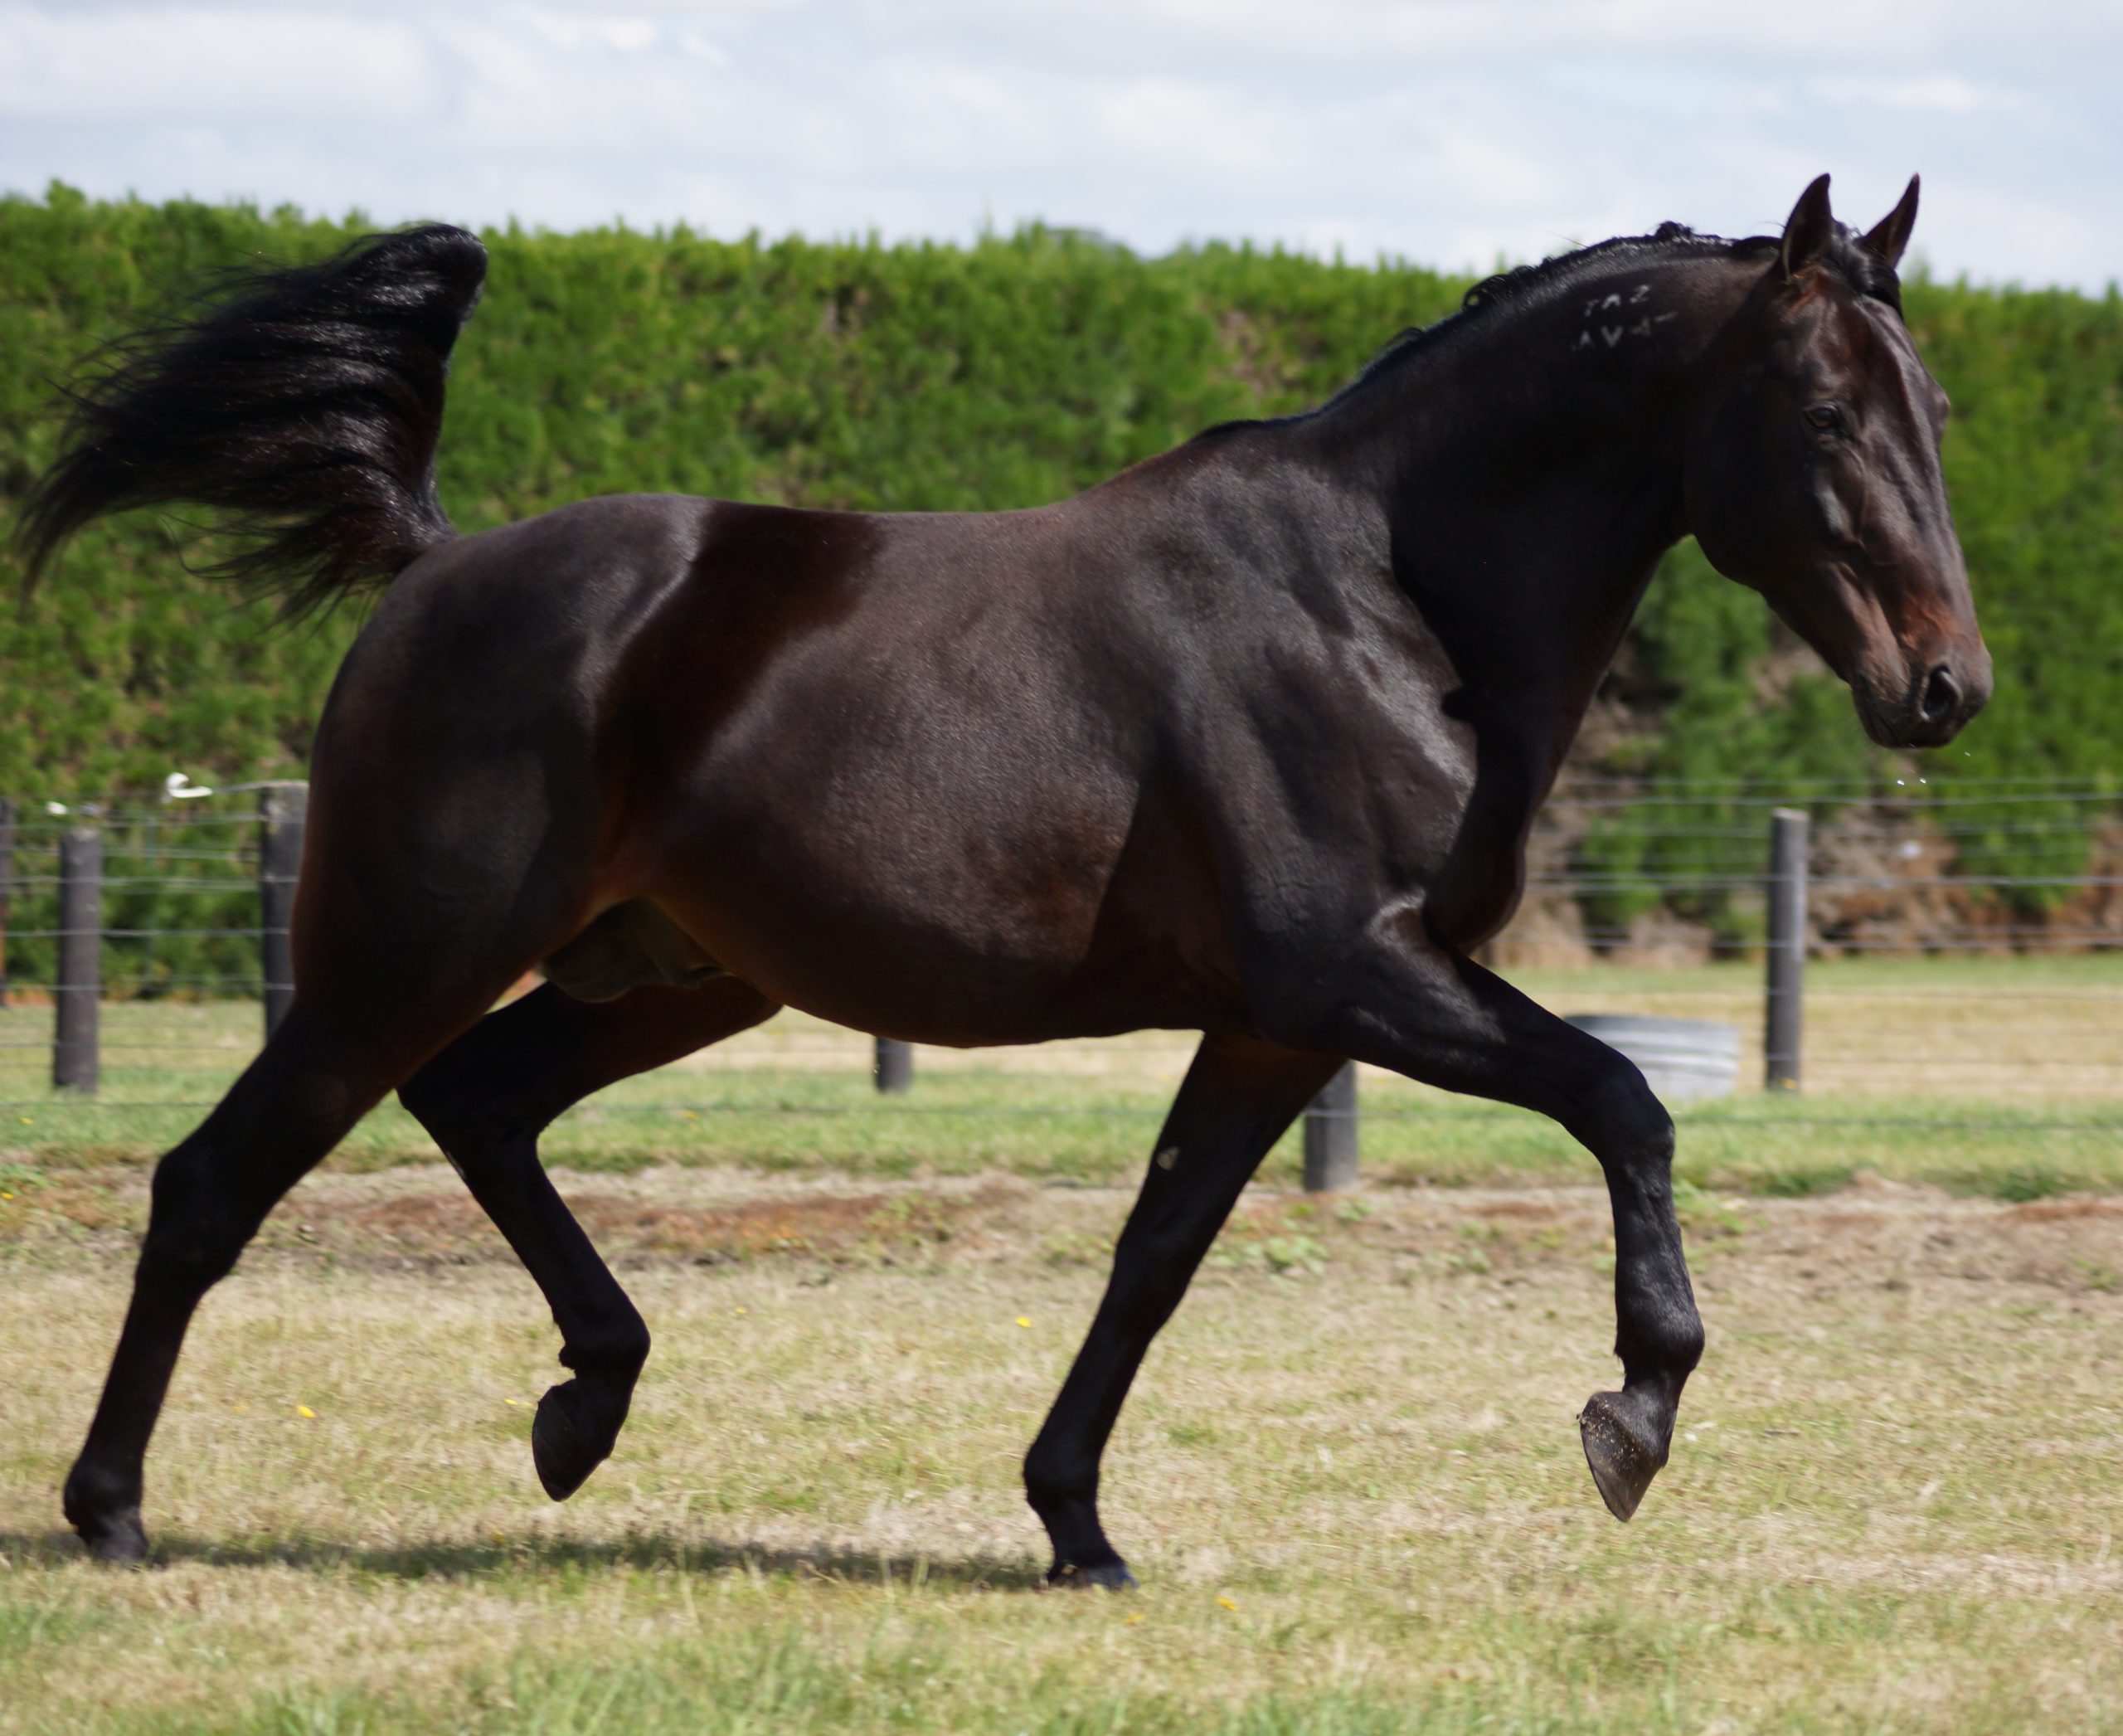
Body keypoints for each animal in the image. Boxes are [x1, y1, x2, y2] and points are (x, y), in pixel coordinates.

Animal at [19, 173, 1988, 1584]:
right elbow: (1622, 1103)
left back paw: (582, 1403)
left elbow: (1155, 1253)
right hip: (401, 954)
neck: (1382, 595)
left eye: (1939, 406)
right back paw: (112, 1509)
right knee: (215, 1181)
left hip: (672, 974)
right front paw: (1631, 1411)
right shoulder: (1358, 973)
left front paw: (1074, 1523)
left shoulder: (1279, 1026)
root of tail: (436, 565)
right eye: (1826, 410)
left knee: (479, 1103)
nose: (1942, 689)